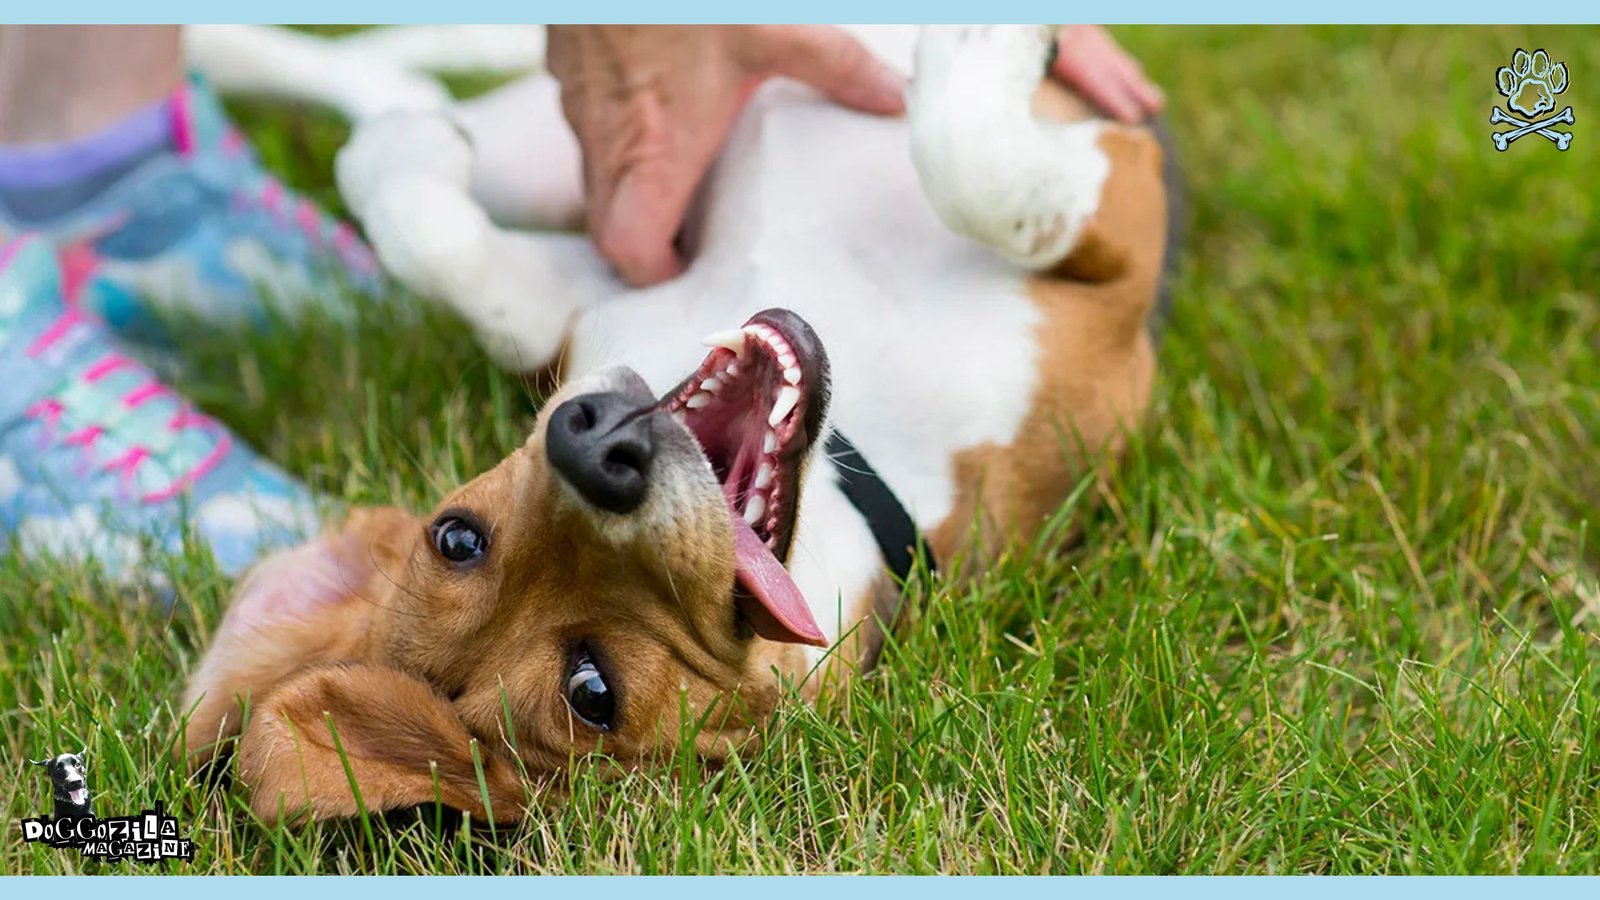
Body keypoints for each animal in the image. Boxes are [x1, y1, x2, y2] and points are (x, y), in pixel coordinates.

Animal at [181, 22, 1184, 819]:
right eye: (592, 690)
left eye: (456, 536)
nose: (598, 447)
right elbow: (982, 173)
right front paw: (986, 50)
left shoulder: (587, 279)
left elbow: (443, 245)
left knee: (404, 88)